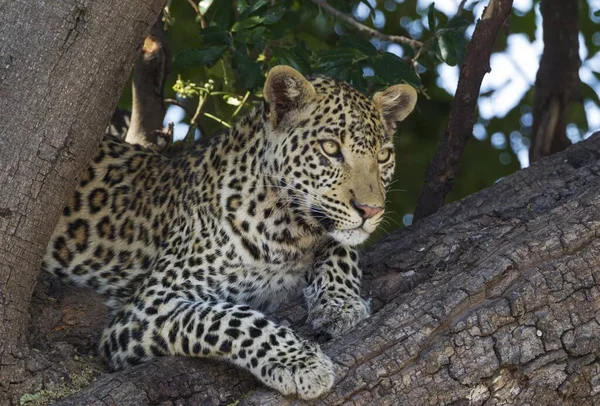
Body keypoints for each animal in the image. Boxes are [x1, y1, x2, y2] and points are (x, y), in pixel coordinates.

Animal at [42, 66, 418, 400]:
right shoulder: (146, 309)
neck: (287, 232)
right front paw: (300, 362)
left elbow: (341, 248)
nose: (371, 211)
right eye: (329, 149)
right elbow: (231, 318)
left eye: (383, 156)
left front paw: (340, 303)